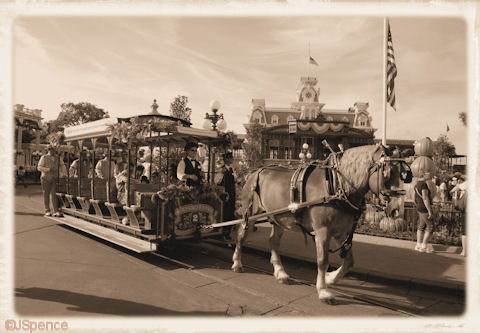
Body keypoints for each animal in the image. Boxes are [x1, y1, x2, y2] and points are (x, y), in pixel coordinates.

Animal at [231, 144, 406, 302]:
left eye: (403, 175)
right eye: (388, 173)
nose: (396, 209)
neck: (337, 185)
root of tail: (255, 172)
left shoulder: (341, 232)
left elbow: (349, 261)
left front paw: (329, 279)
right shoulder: (323, 230)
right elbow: (323, 260)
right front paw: (323, 291)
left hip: (279, 218)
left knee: (273, 241)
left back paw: (281, 273)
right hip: (249, 214)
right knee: (241, 235)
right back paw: (237, 263)